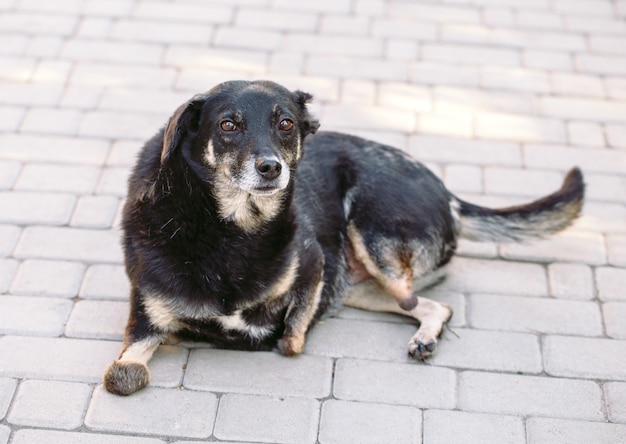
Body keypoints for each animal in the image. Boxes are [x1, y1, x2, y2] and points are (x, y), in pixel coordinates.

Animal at [103, 80, 584, 396]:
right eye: (227, 125)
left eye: (285, 123)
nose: (272, 167)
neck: (228, 228)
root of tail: (449, 195)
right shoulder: (147, 319)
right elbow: (121, 375)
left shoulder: (316, 264)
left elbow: (290, 337)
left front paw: (275, 332)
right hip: (364, 286)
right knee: (434, 304)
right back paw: (425, 335)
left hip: (375, 235)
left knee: (414, 296)